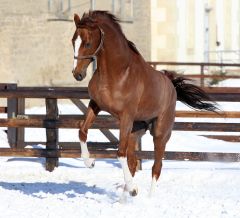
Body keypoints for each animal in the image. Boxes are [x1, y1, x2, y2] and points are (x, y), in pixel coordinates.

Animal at [71, 10, 218, 198]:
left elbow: (120, 153)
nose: (77, 74)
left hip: (160, 134)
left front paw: (133, 188)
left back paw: (146, 196)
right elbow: (82, 131)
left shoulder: (126, 117)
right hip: (136, 131)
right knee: (134, 162)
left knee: (156, 167)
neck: (117, 74)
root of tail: (171, 85)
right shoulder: (96, 104)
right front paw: (90, 162)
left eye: (88, 43)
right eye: (73, 41)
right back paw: (125, 195)